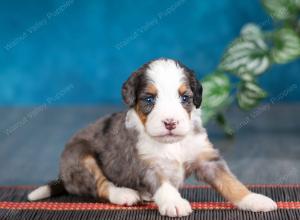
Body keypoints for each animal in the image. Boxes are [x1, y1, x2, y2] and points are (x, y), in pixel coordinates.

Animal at [28, 58, 276, 218]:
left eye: (184, 98)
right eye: (149, 100)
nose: (170, 123)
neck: (171, 144)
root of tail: (63, 176)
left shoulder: (206, 158)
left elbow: (231, 182)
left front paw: (254, 199)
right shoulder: (145, 162)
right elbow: (162, 182)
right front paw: (174, 203)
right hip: (80, 155)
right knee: (101, 184)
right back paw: (125, 194)